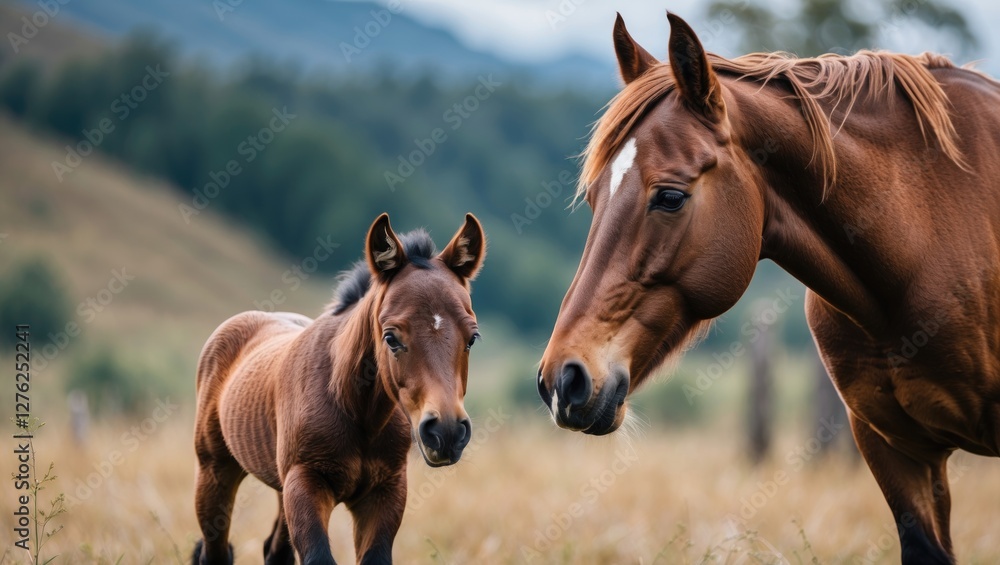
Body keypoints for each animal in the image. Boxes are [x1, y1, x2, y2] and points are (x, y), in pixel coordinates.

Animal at [192, 213, 485, 565]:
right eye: (391, 337)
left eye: (472, 338)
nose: (446, 432)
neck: (357, 411)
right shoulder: (305, 484)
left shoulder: (385, 493)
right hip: (215, 471)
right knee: (216, 551)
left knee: (275, 550)